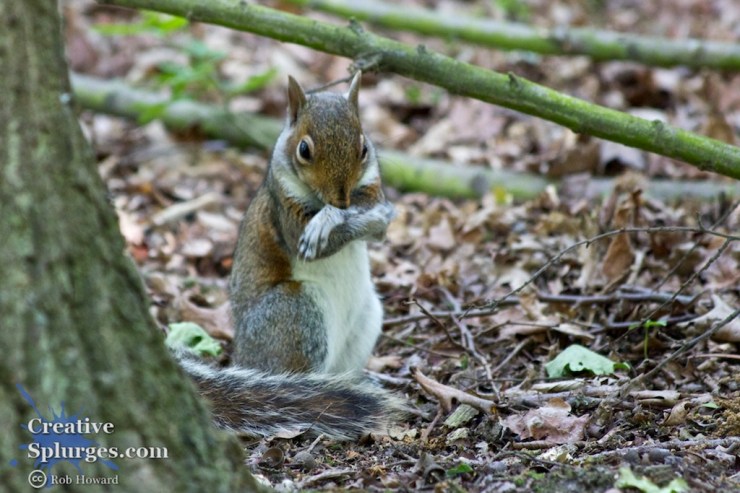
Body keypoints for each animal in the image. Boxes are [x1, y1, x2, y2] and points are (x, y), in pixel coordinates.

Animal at [177, 72, 401, 440]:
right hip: (295, 311)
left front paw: (361, 216)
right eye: (304, 150)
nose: (341, 200)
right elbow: (311, 236)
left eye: (364, 148)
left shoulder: (372, 188)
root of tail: (244, 357)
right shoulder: (283, 207)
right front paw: (331, 220)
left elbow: (376, 223)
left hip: (367, 319)